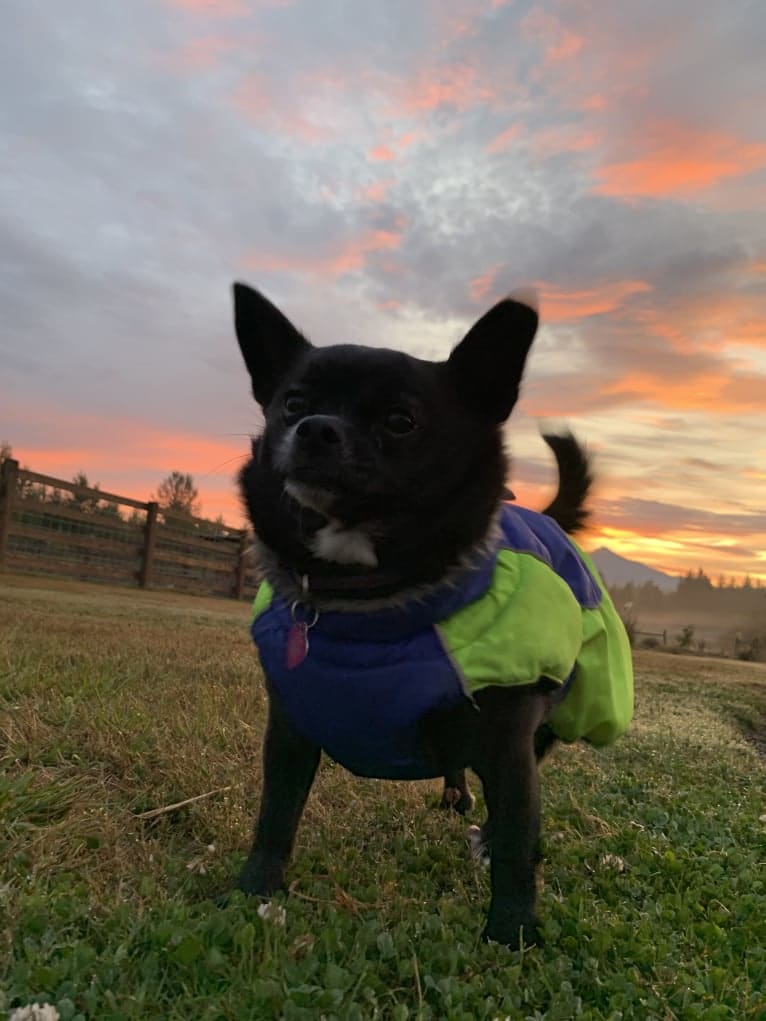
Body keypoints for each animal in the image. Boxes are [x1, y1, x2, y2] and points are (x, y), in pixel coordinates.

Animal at [229, 281, 637, 947]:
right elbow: (276, 815)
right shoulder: (289, 734)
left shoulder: (509, 748)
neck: (366, 603)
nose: (316, 429)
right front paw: (252, 891)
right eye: (292, 404)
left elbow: (519, 839)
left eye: (402, 422)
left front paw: (511, 934)